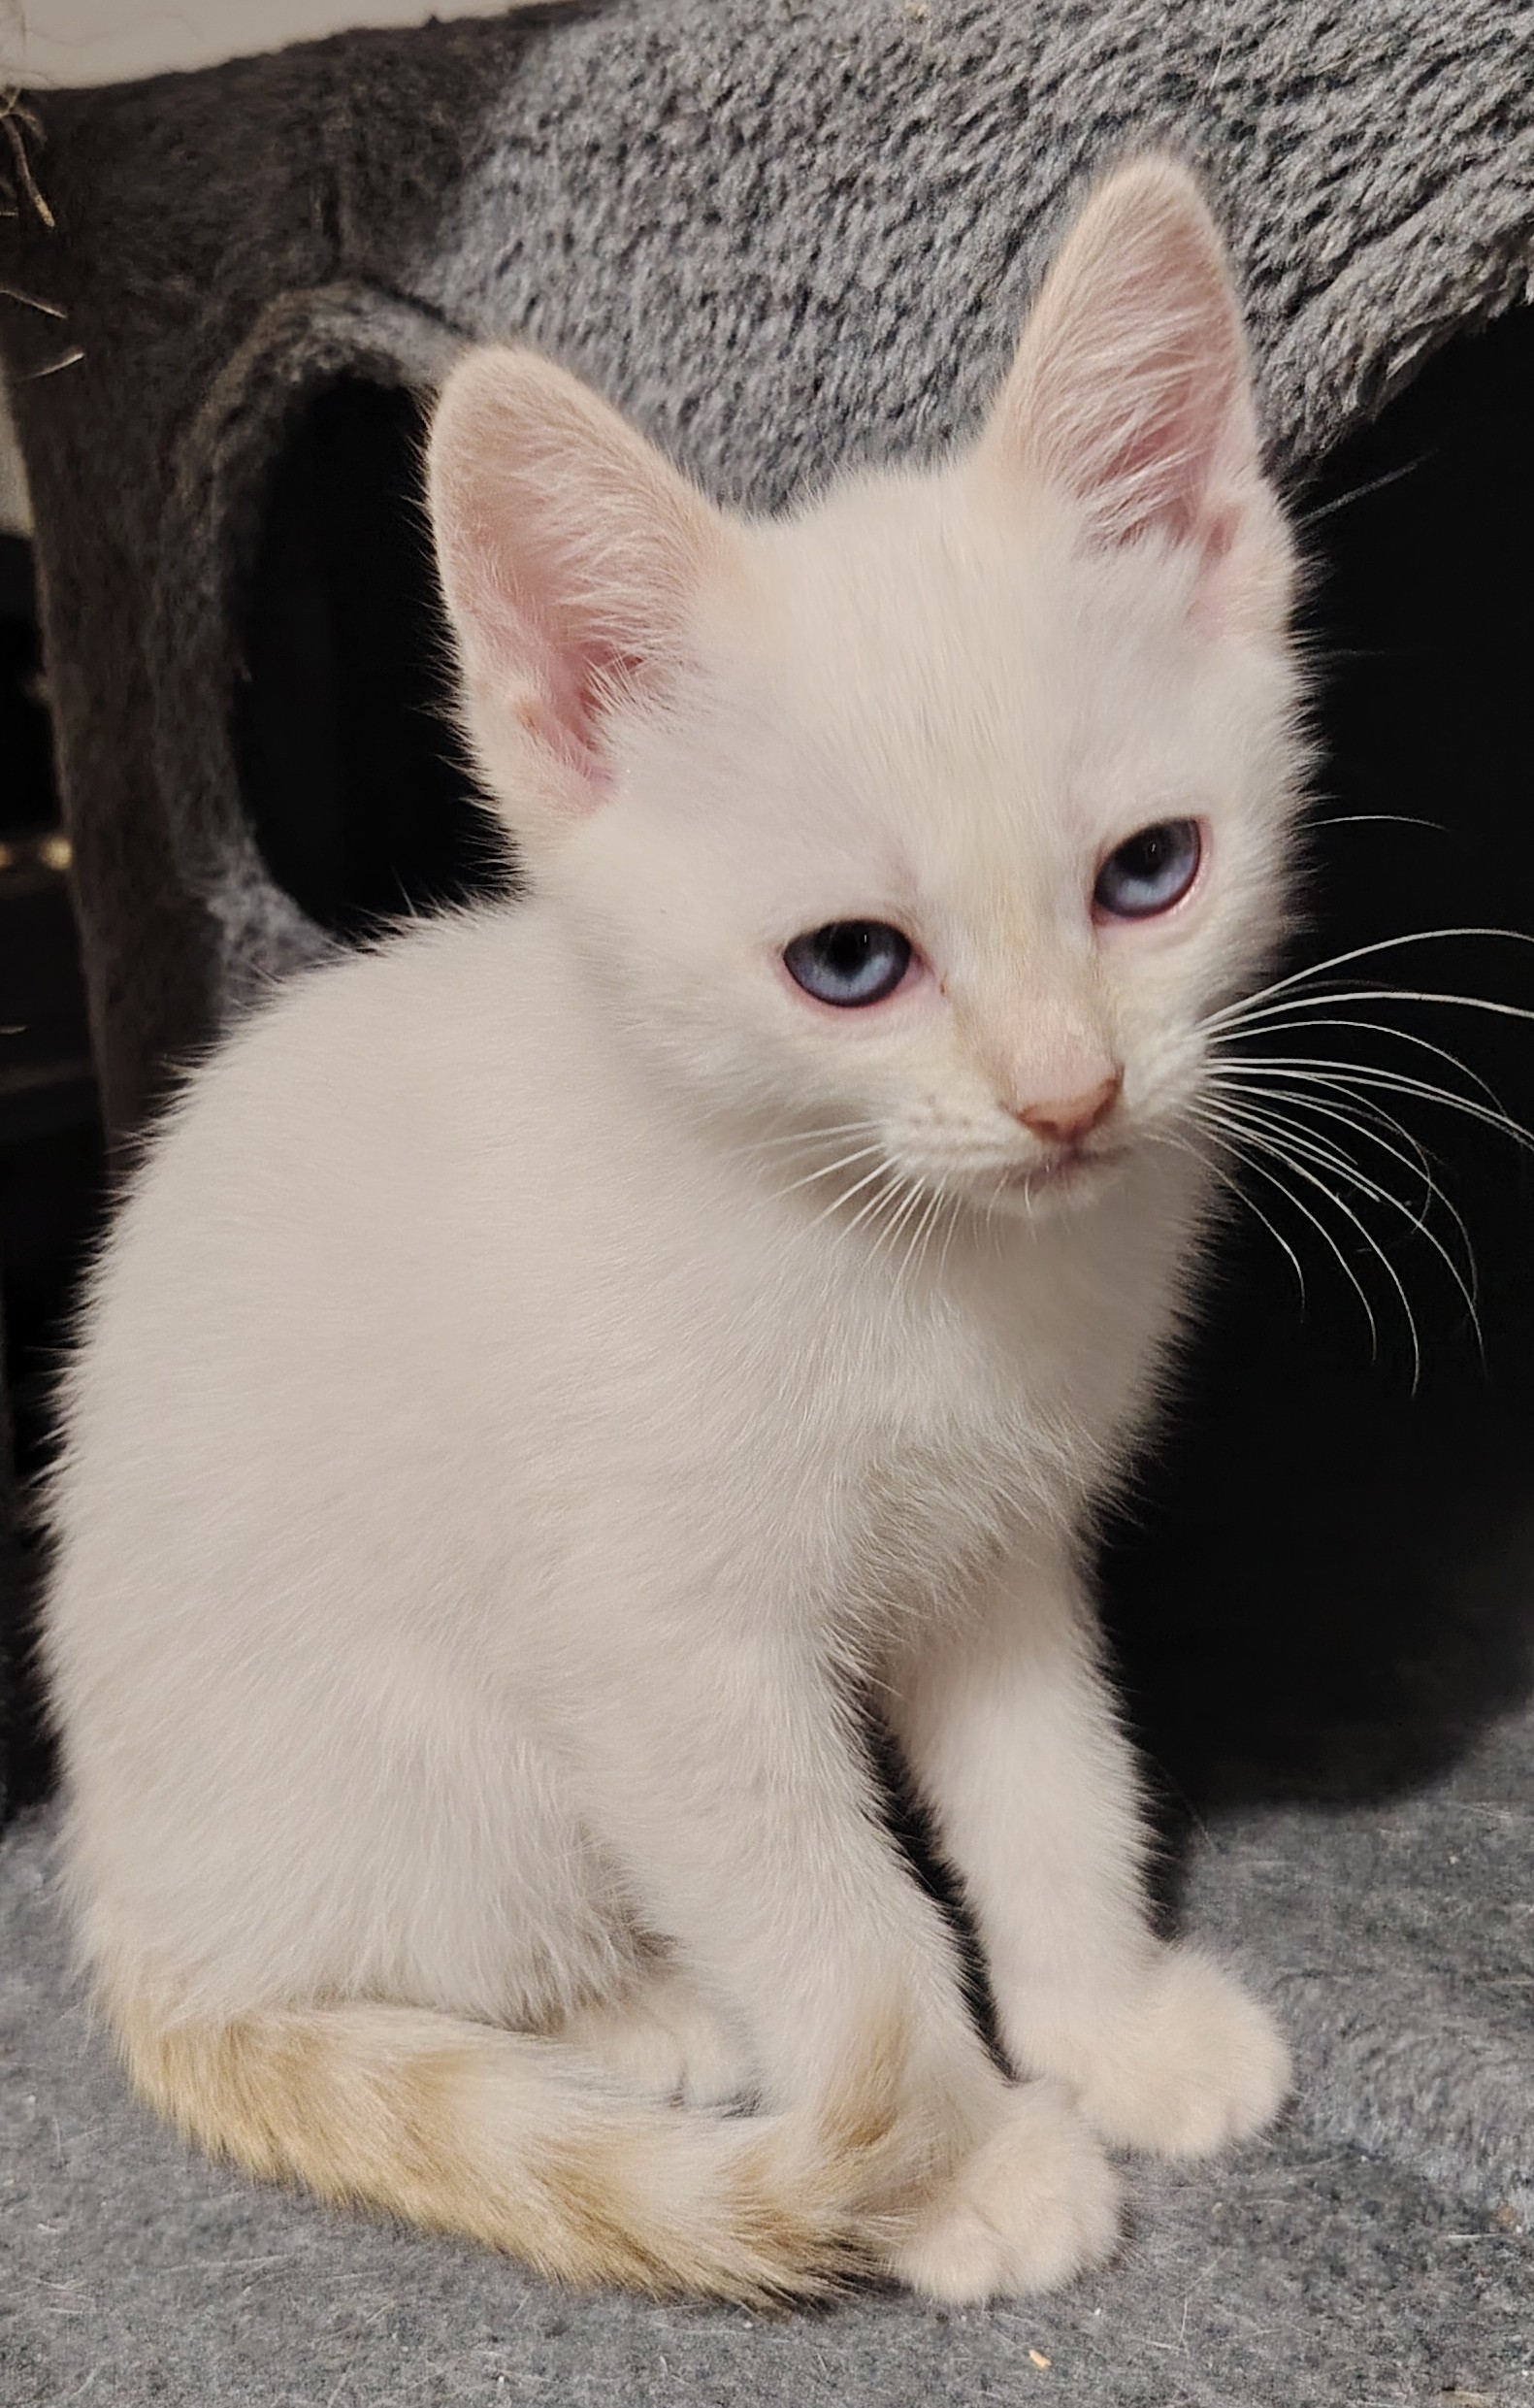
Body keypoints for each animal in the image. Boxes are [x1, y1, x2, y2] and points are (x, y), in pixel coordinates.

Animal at [40, 155, 1299, 2305]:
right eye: (849, 964)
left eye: (1150, 872)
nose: (1067, 1097)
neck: (902, 1256)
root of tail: (131, 1906)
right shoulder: (657, 1647)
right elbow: (825, 1912)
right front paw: (957, 2162)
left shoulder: (999, 1551)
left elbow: (1053, 1784)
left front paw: (1109, 2024)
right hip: (428, 1765)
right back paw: (636, 2019)